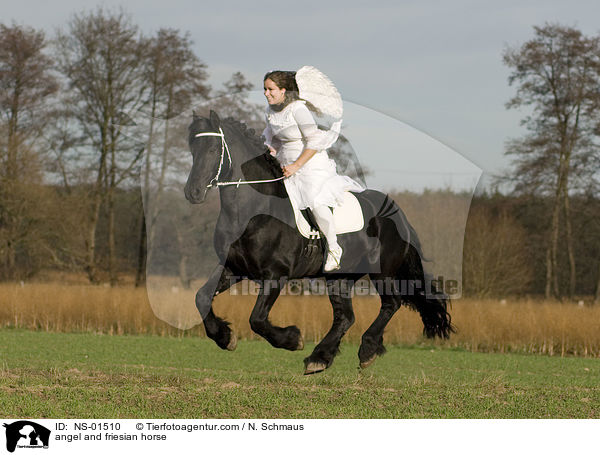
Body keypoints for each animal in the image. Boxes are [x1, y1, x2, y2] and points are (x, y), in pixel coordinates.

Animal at [185, 110, 452, 374]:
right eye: (192, 149)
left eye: (213, 149)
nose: (193, 192)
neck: (253, 212)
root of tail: (398, 213)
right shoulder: (233, 268)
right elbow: (201, 297)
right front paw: (225, 337)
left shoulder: (275, 275)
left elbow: (257, 319)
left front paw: (293, 339)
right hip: (339, 277)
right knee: (346, 317)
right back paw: (320, 358)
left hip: (381, 272)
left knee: (390, 304)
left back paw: (366, 350)